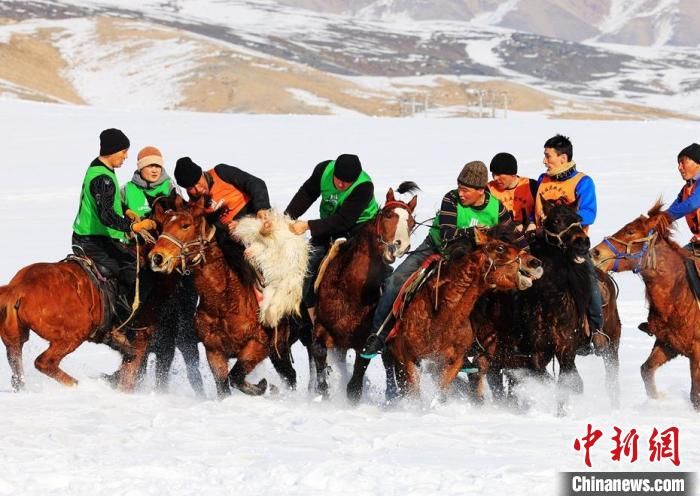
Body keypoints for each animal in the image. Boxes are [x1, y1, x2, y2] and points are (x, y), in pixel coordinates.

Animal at [149, 196, 296, 398]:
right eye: (162, 225)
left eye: (185, 225)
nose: (157, 258)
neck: (225, 303)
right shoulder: (214, 351)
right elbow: (224, 385)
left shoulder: (258, 344)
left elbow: (236, 377)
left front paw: (263, 386)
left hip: (279, 346)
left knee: (290, 375)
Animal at [310, 182, 418, 400]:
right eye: (387, 215)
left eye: (411, 223)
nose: (399, 246)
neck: (350, 290)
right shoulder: (322, 328)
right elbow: (318, 351)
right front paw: (323, 392)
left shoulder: (365, 342)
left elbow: (355, 385)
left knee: (388, 363)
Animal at [380, 228, 544, 400]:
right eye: (500, 248)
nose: (535, 263)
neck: (439, 319)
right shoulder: (409, 360)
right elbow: (415, 395)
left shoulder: (453, 363)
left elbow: (440, 394)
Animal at [516, 200, 620, 412]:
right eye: (556, 220)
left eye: (578, 219)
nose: (582, 243)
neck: (548, 299)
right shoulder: (539, 350)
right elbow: (545, 376)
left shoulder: (565, 349)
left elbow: (567, 384)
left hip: (612, 344)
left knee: (612, 379)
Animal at [592, 200, 700, 408]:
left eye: (631, 231)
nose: (595, 252)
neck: (680, 294)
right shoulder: (668, 344)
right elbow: (646, 370)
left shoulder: (697, 352)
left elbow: (695, 396)